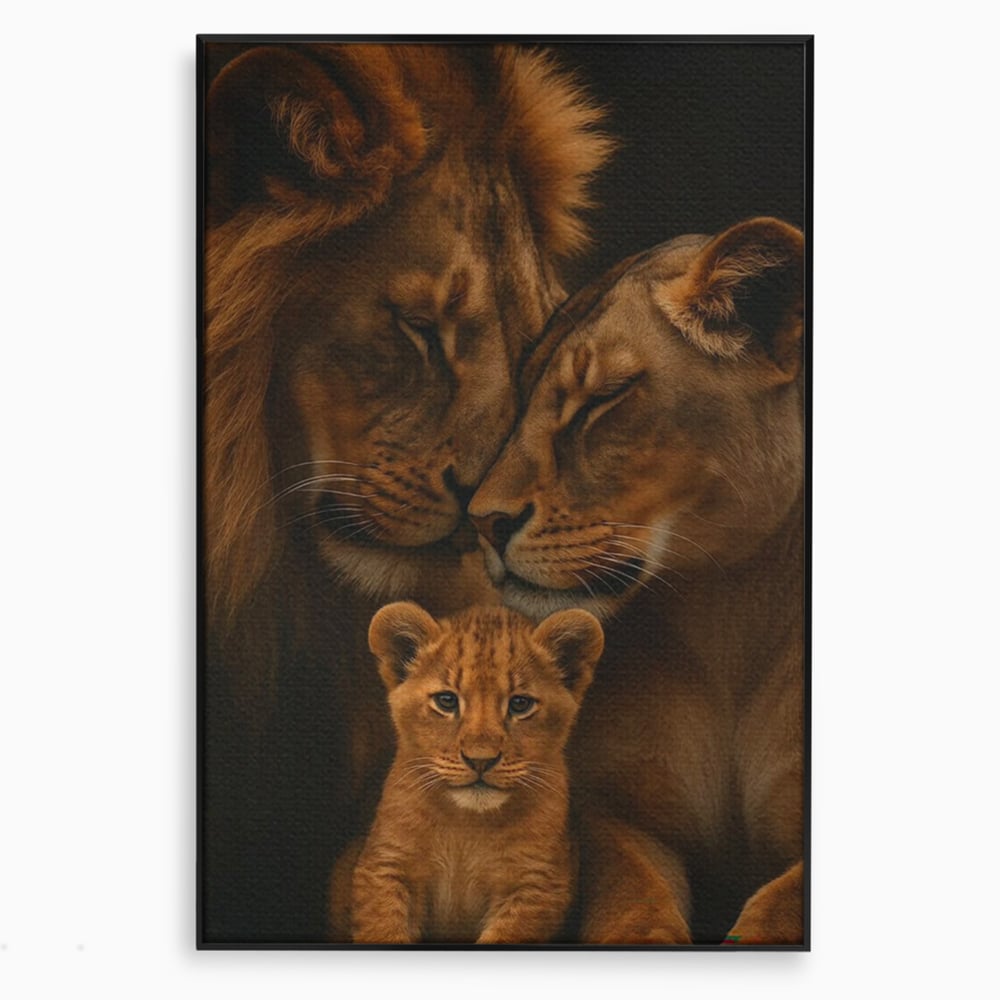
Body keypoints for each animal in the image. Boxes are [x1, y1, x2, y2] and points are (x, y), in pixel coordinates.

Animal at [330, 602, 603, 943]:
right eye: (447, 701)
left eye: (520, 704)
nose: (480, 760)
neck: (467, 825)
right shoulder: (386, 866)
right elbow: (382, 929)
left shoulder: (537, 886)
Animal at [468, 217, 806, 944]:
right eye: (523, 398)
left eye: (602, 399)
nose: (482, 521)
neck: (730, 611)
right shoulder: (611, 812)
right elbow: (629, 900)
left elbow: (776, 908)